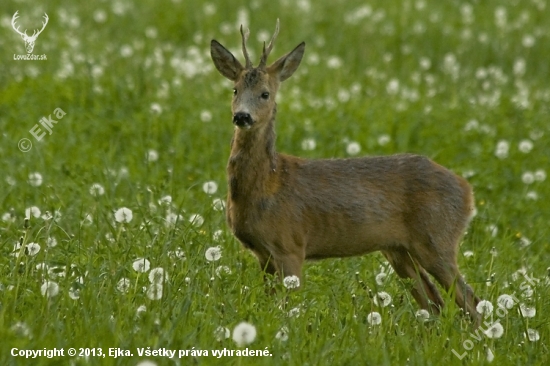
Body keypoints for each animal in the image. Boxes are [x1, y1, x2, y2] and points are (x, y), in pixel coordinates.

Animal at [211, 21, 484, 322]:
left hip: (437, 239)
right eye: (235, 90)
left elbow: (288, 310)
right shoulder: (263, 254)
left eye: (265, 93)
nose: (242, 116)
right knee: (435, 303)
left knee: (470, 301)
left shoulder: (290, 246)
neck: (268, 182)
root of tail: (467, 190)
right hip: (399, 250)